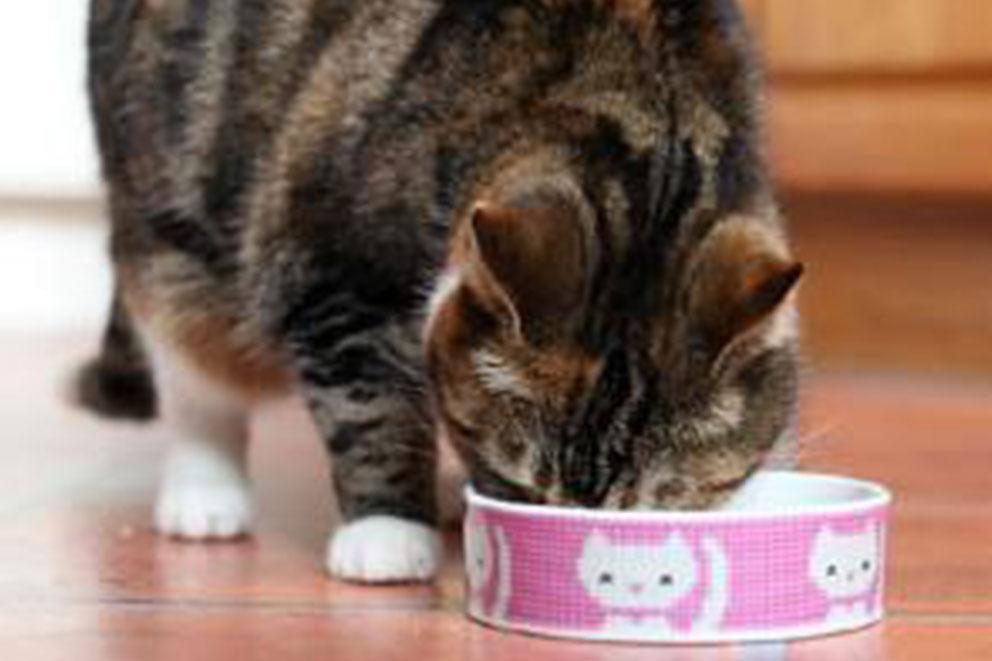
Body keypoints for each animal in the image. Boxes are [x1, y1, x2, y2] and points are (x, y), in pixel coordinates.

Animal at [81, 1, 804, 584]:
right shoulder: (336, 274)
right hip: (171, 232)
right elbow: (370, 409)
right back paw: (204, 497)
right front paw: (388, 532)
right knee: (196, 377)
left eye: (650, 503)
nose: (564, 538)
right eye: (521, 480)